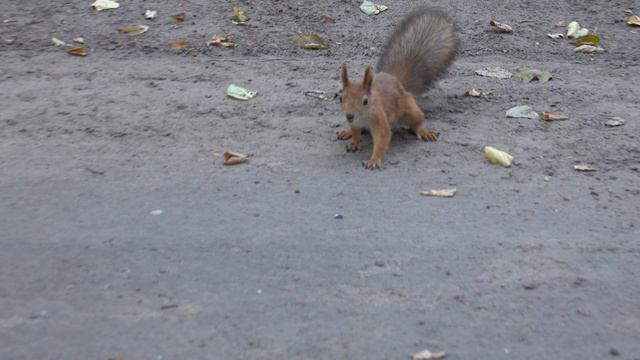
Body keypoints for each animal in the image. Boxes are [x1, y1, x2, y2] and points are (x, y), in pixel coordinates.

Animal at [338, 7, 458, 169]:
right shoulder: (355, 124)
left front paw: (374, 159)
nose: (349, 116)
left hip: (409, 110)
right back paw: (346, 132)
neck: (362, 118)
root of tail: (396, 80)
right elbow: (356, 132)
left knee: (415, 123)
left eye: (365, 101)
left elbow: (383, 138)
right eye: (340, 98)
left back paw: (423, 131)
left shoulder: (379, 119)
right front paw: (354, 141)